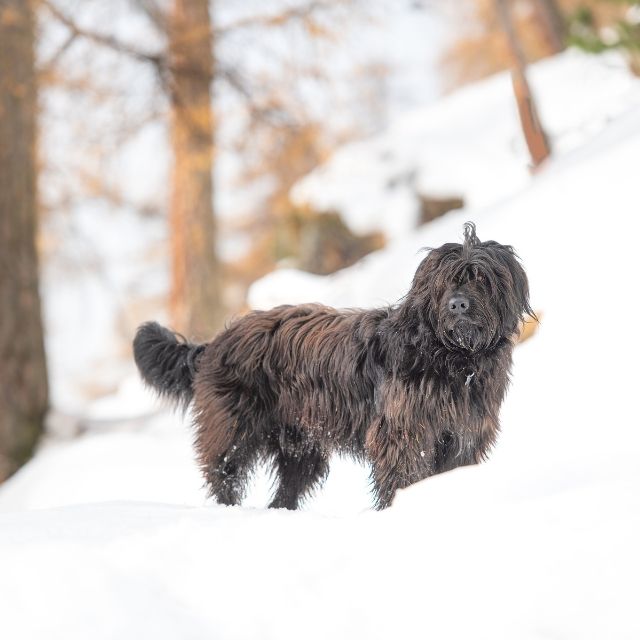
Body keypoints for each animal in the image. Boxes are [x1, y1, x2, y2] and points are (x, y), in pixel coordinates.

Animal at [132, 222, 532, 508]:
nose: (458, 304)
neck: (450, 357)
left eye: (482, 279)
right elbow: (402, 475)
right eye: (445, 282)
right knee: (224, 471)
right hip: (234, 427)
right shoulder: (403, 434)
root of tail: (216, 341)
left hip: (299, 442)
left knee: (287, 487)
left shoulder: (463, 436)